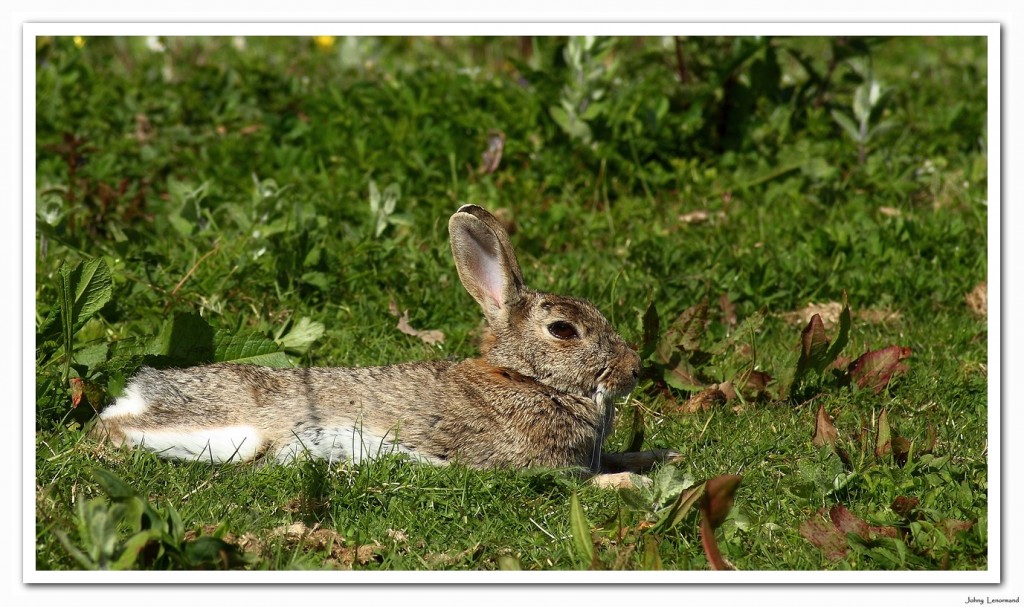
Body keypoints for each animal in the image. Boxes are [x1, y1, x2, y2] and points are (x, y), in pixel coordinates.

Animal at [92, 205, 675, 470]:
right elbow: (602, 481)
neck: (524, 378)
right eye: (563, 330)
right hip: (228, 432)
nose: (634, 369)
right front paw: (639, 482)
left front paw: (661, 458)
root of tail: (140, 390)